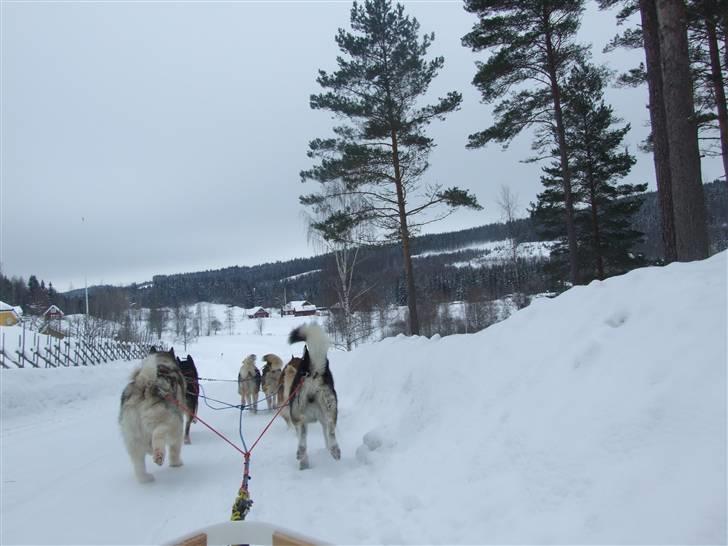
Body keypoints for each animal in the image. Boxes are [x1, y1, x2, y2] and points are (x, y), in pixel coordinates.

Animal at [116, 348, 185, 480]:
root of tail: (143, 385)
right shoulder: (177, 430)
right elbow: (175, 448)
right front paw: (176, 463)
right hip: (171, 421)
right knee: (158, 434)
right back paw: (158, 454)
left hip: (132, 435)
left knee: (138, 462)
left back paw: (145, 478)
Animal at [288, 324, 338, 468]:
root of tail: (313, 372)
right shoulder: (321, 420)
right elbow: (326, 434)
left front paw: (304, 462)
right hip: (329, 407)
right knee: (331, 427)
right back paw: (335, 450)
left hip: (296, 412)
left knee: (302, 430)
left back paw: (301, 452)